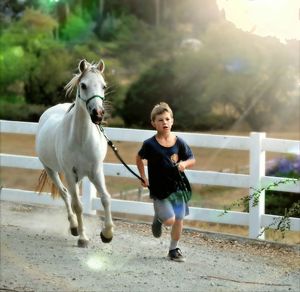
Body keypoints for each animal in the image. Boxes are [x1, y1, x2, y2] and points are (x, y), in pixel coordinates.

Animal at [35, 58, 114, 246]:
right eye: (83, 85)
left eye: (104, 86)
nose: (98, 114)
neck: (81, 139)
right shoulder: (70, 173)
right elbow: (77, 205)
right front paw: (83, 237)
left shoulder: (96, 171)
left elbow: (105, 198)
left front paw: (107, 233)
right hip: (52, 171)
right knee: (65, 195)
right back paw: (73, 227)